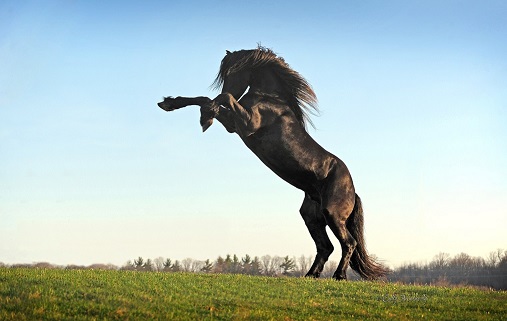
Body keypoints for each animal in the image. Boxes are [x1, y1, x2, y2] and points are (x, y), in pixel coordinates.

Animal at [159, 46, 388, 278]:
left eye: (232, 73)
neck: (270, 99)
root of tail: (353, 190)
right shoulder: (234, 124)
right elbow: (204, 97)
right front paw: (169, 103)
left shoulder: (245, 123)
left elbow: (222, 97)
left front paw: (206, 117)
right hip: (312, 217)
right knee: (326, 247)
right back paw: (310, 275)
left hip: (332, 214)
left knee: (348, 243)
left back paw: (338, 276)